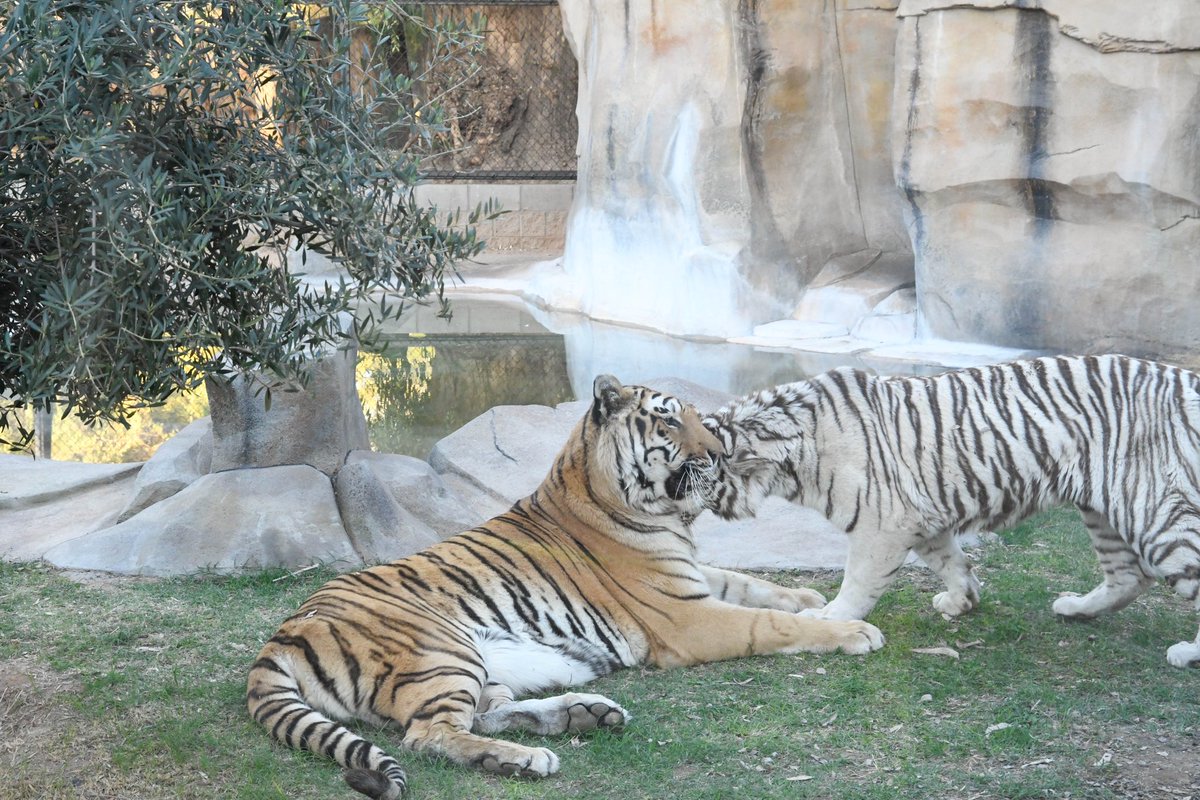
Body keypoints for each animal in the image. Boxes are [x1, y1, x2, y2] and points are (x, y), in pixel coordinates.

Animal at [247, 375, 885, 799]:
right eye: (670, 421)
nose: (721, 452)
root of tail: (281, 636)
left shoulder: (692, 577)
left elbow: (752, 585)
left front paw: (811, 600)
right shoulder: (687, 616)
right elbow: (769, 623)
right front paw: (854, 630)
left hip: (485, 664)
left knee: (482, 714)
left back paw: (585, 715)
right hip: (442, 649)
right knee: (430, 735)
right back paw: (525, 760)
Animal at [700, 354, 1200, 668]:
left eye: (689, 470)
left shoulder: (883, 524)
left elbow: (858, 582)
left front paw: (832, 618)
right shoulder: (922, 517)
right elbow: (951, 562)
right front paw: (962, 600)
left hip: (1158, 511)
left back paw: (1186, 654)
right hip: (1104, 510)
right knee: (1129, 576)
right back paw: (1075, 608)